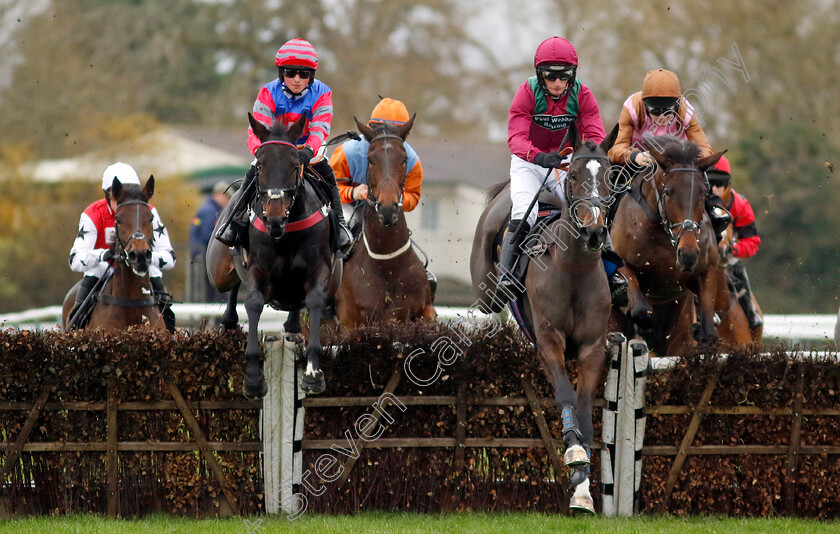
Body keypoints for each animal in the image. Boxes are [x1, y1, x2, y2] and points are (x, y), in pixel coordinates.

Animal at [207, 113, 338, 398]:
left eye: (294, 165)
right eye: (260, 167)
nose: (274, 217)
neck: (285, 233)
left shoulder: (320, 269)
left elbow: (314, 300)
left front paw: (313, 373)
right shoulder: (260, 270)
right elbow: (254, 302)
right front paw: (254, 378)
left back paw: (293, 328)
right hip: (218, 271)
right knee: (232, 284)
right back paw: (228, 323)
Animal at [334, 115, 436, 328]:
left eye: (404, 160)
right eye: (370, 160)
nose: (387, 209)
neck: (388, 264)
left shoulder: (424, 310)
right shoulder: (350, 323)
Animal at [472, 130, 616, 516]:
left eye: (609, 177)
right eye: (575, 176)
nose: (594, 231)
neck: (574, 269)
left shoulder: (593, 348)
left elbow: (584, 410)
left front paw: (583, 489)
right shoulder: (549, 341)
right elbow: (565, 394)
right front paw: (574, 453)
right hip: (486, 288)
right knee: (488, 302)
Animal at [608, 136, 732, 358]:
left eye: (704, 192)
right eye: (667, 191)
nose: (688, 254)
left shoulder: (705, 272)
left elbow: (709, 333)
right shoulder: (623, 266)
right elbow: (642, 312)